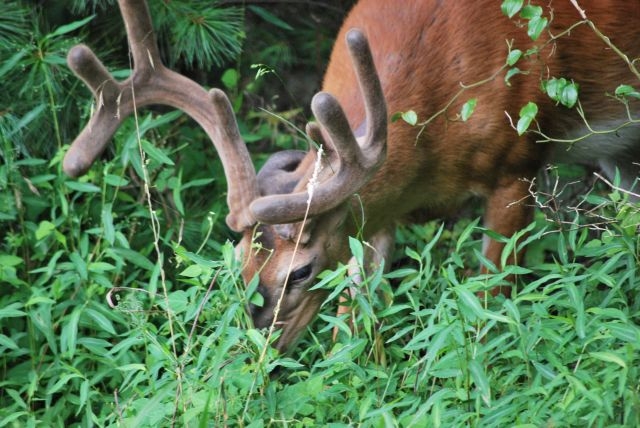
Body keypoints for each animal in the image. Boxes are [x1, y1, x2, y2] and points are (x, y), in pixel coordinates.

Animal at [61, 0, 640, 352]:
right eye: (239, 257)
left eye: (300, 271)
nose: (258, 342)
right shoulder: (372, 218)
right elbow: (353, 327)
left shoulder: (516, 165)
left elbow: (490, 300)